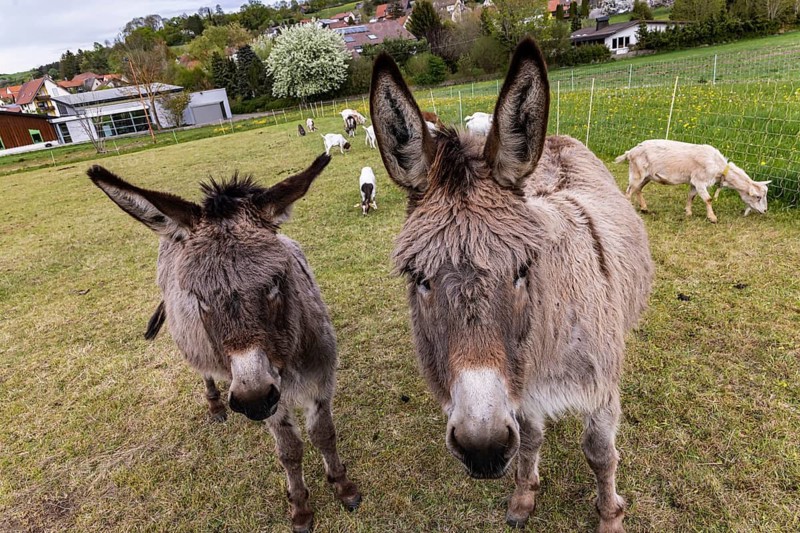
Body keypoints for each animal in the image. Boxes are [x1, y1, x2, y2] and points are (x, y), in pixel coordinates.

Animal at [616, 140, 770, 222]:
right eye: (758, 196)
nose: (765, 210)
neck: (718, 166)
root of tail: (630, 152)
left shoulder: (694, 183)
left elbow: (691, 196)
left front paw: (688, 212)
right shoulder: (700, 180)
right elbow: (708, 199)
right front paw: (712, 217)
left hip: (647, 176)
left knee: (638, 189)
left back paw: (644, 208)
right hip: (637, 172)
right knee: (629, 191)